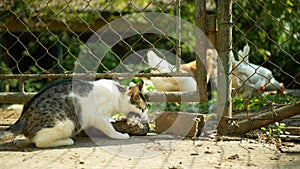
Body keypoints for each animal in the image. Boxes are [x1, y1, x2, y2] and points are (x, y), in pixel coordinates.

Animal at [0, 78, 148, 147]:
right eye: (142, 108)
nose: (145, 117)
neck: (116, 94)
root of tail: (23, 117)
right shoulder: (98, 117)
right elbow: (109, 129)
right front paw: (120, 135)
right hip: (67, 121)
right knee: (39, 141)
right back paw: (67, 140)